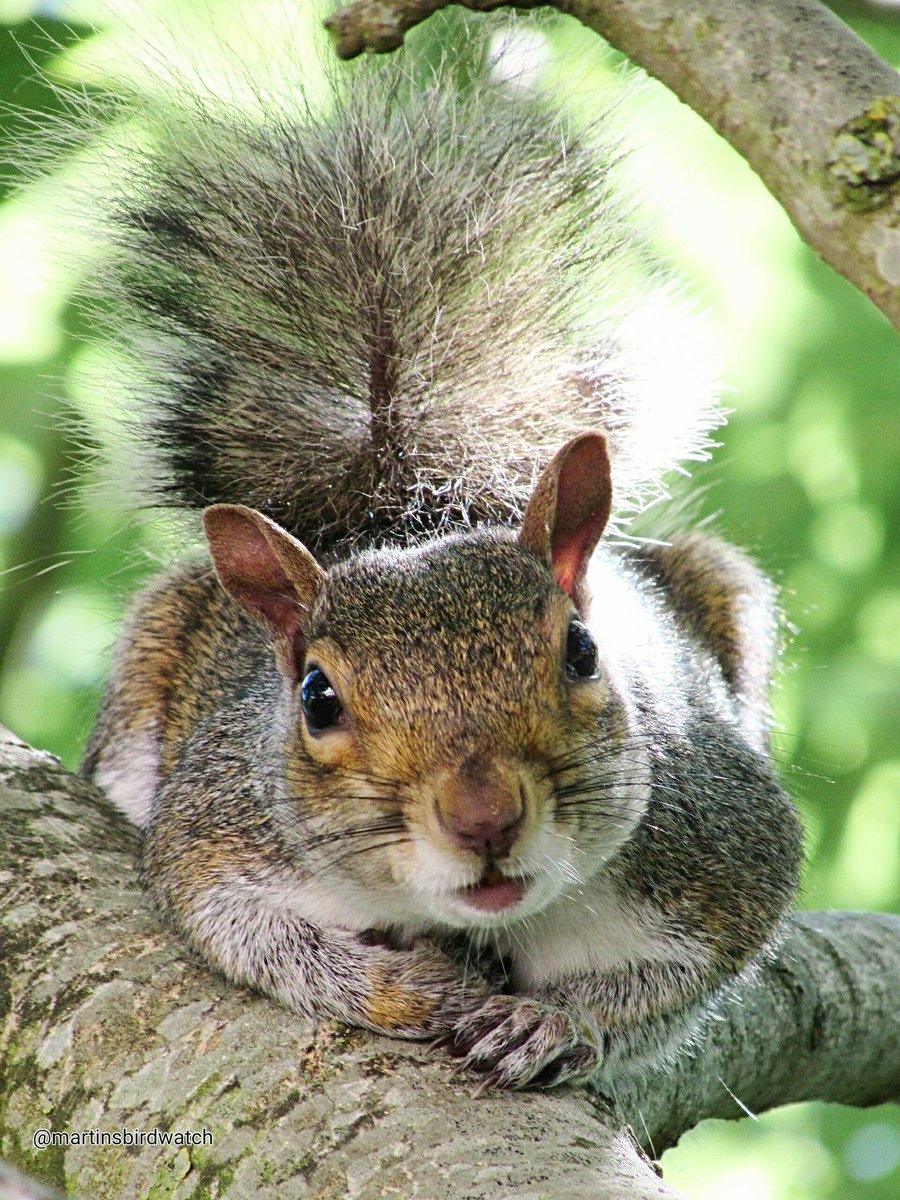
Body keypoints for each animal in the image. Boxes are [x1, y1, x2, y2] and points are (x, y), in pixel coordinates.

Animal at [75, 14, 804, 1092]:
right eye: (316, 699)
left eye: (583, 651)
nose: (483, 817)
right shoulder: (218, 832)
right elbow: (238, 930)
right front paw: (397, 988)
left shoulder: (723, 850)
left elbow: (669, 990)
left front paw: (552, 1023)